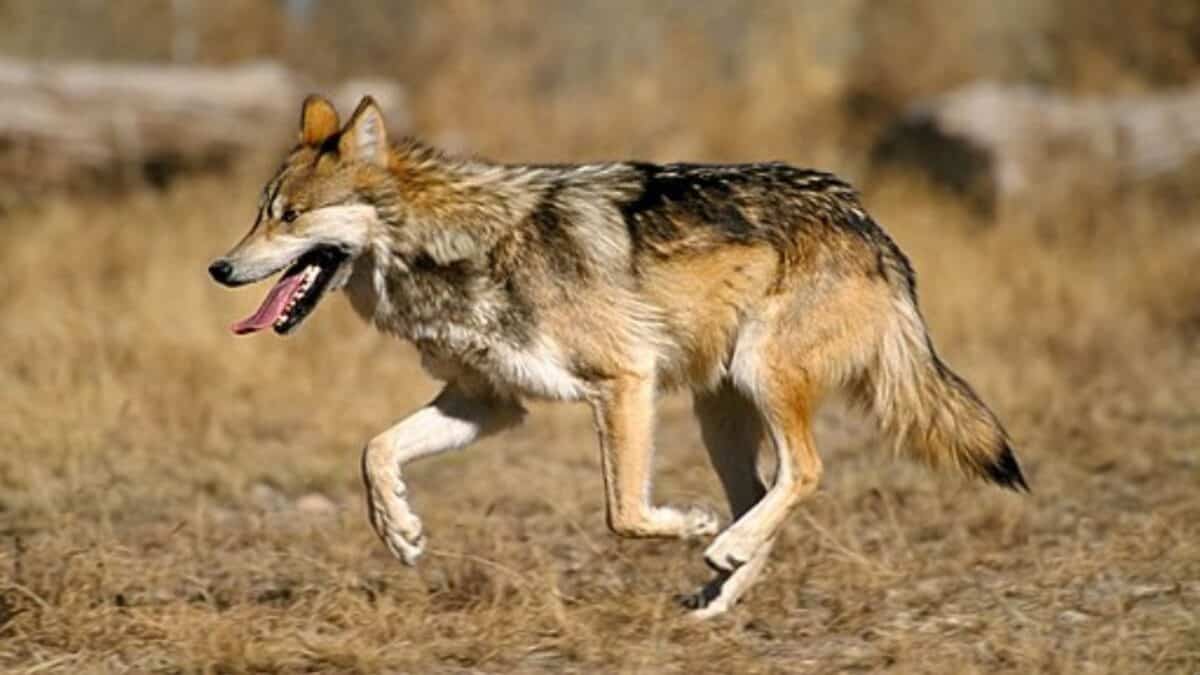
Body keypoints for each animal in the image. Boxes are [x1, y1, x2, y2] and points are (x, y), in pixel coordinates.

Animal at [209, 95, 1028, 618]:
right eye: (259, 213)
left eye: (291, 216)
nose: (219, 267)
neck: (456, 247)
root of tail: (867, 221)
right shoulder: (488, 403)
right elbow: (374, 451)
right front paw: (401, 531)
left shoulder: (624, 382)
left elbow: (624, 513)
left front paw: (689, 525)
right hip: (717, 412)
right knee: (765, 491)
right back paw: (719, 591)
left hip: (758, 377)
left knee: (805, 472)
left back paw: (721, 546)